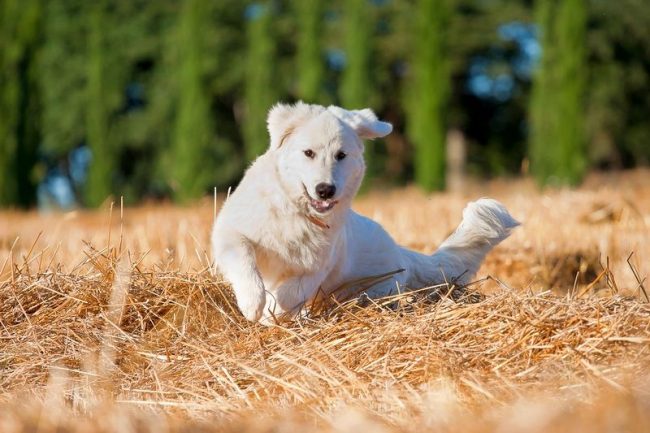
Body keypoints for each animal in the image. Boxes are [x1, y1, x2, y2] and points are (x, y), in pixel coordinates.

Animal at [210, 103, 520, 322]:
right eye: (308, 153)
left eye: (341, 156)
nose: (325, 190)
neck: (298, 212)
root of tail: (402, 255)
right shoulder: (231, 232)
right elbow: (245, 261)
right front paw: (253, 304)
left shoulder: (316, 268)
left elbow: (288, 293)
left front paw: (268, 313)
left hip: (374, 290)